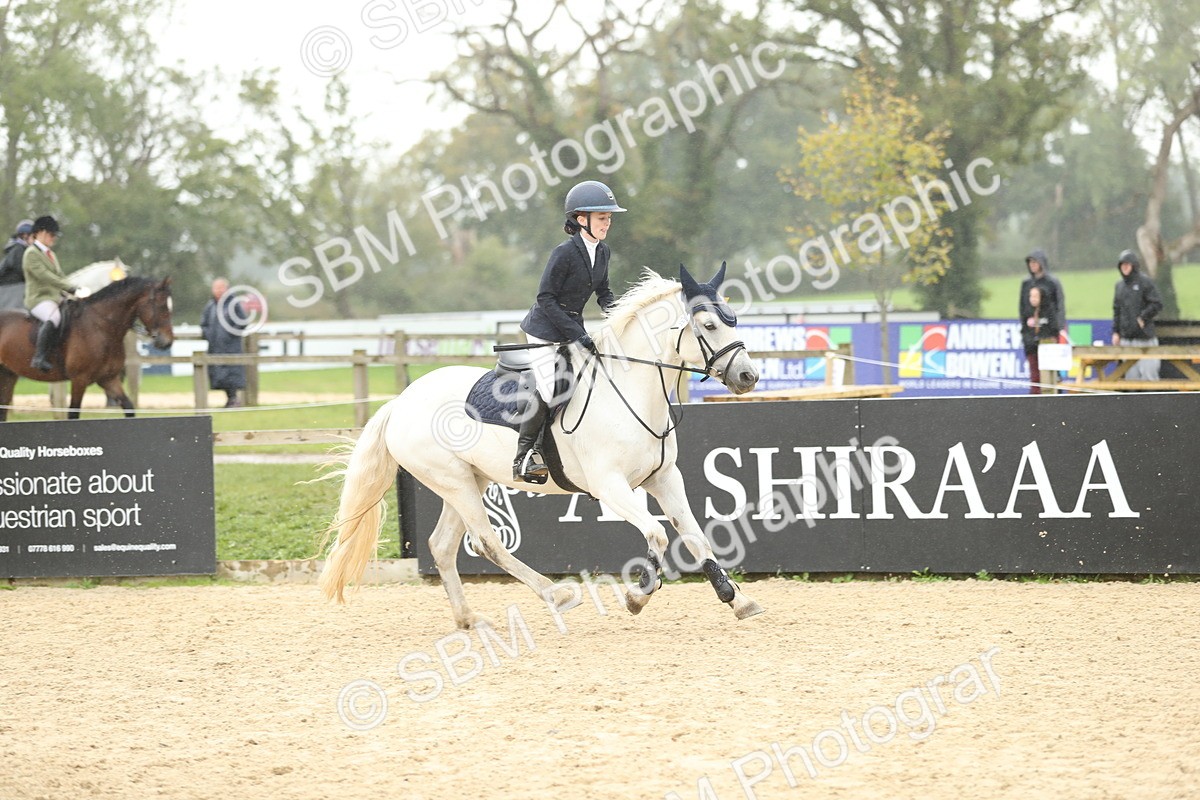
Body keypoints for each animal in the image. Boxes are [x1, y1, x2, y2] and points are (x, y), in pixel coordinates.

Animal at [0, 276, 174, 421]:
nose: (167, 342)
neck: (101, 326)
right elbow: (73, 414)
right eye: (161, 306)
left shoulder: (108, 379)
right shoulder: (79, 380)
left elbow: (129, 407)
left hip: (8, 375)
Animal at [319, 264, 764, 629]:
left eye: (733, 320)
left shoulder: (665, 479)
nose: (748, 376)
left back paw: (469, 619)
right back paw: (558, 594)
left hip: (469, 481)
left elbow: (694, 536)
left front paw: (736, 599)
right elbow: (656, 534)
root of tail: (400, 402)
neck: (633, 392)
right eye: (708, 325)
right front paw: (638, 596)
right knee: (486, 542)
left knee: (442, 547)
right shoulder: (610, 485)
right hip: (453, 481)